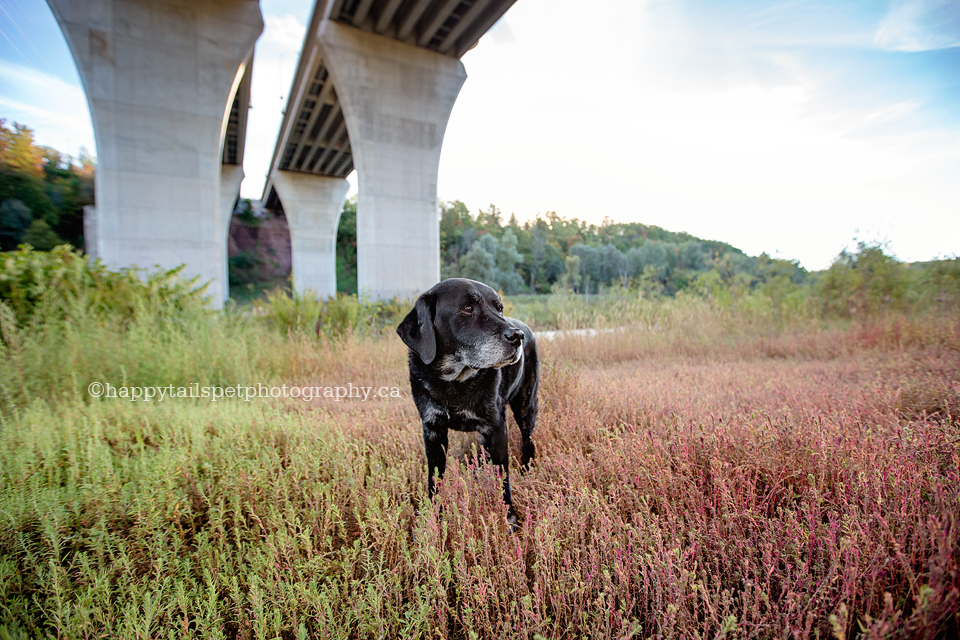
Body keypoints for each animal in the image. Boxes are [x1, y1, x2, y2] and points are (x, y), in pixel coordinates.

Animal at [394, 278, 536, 528]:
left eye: (499, 308)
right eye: (468, 308)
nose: (517, 336)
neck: (454, 382)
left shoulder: (497, 427)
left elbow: (503, 478)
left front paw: (509, 516)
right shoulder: (433, 430)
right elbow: (435, 479)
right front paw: (434, 518)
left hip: (525, 405)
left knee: (527, 440)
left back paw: (526, 469)